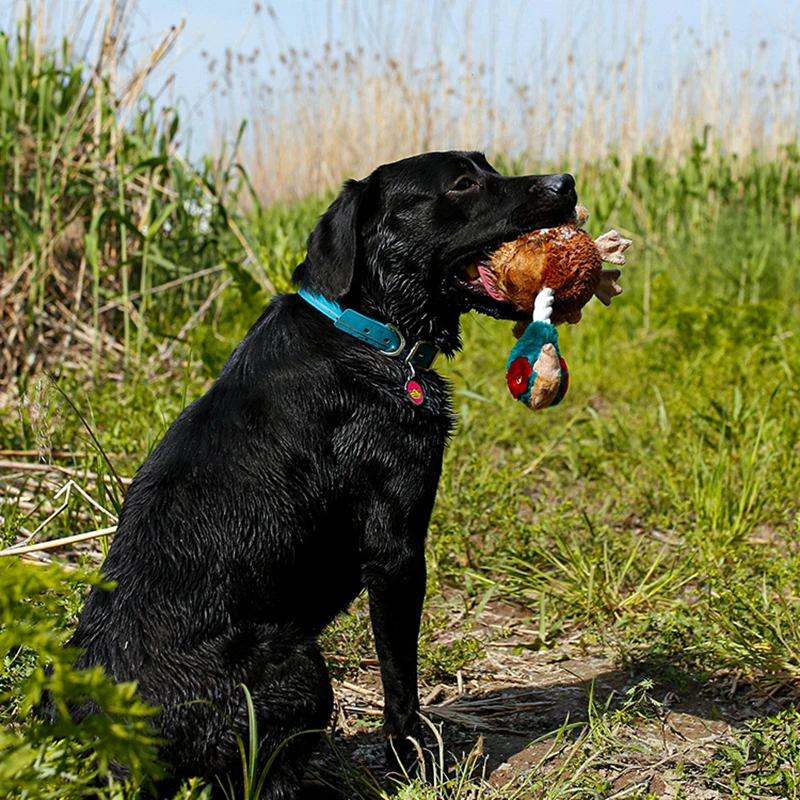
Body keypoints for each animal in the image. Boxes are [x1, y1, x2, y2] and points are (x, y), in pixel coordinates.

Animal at [62, 152, 576, 800]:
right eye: (462, 183)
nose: (568, 183)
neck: (367, 331)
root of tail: (113, 749)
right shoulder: (395, 553)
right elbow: (399, 684)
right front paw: (413, 764)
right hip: (300, 665)